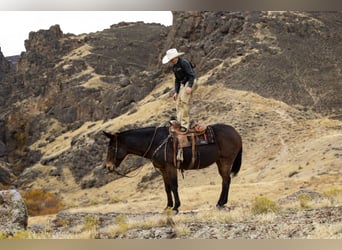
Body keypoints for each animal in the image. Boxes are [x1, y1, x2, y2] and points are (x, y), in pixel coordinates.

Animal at [103, 123, 242, 213]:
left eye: (112, 148)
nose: (109, 167)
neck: (156, 141)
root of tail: (236, 133)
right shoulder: (163, 170)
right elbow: (167, 188)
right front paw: (168, 206)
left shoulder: (171, 167)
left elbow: (174, 186)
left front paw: (176, 207)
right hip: (220, 161)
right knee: (225, 180)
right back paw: (220, 203)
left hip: (226, 161)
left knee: (226, 181)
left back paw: (221, 203)